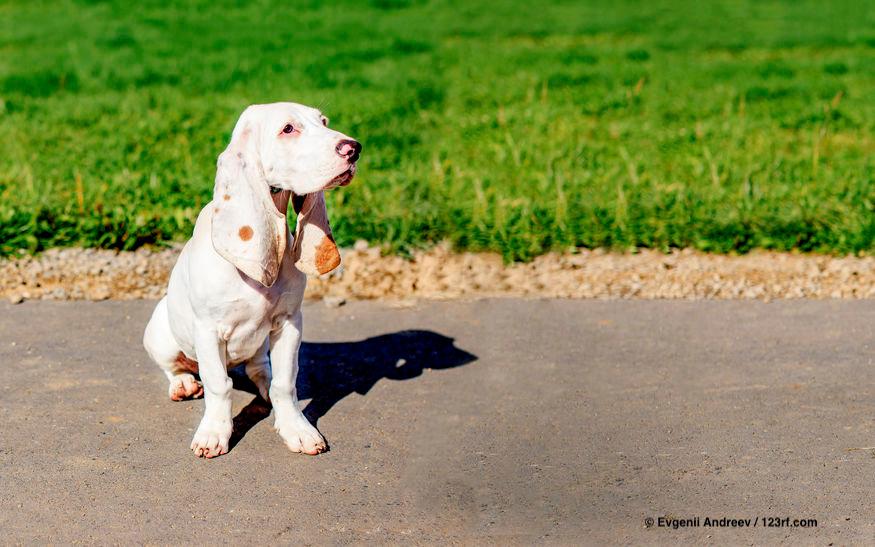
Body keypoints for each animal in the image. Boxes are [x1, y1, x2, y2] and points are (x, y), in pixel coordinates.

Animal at [145, 101, 362, 458]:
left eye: (324, 121)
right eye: (288, 129)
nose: (354, 149)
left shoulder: (290, 323)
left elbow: (285, 384)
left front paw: (297, 429)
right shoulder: (208, 330)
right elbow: (219, 385)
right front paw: (214, 433)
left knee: (259, 370)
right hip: (159, 333)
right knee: (175, 367)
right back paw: (183, 384)